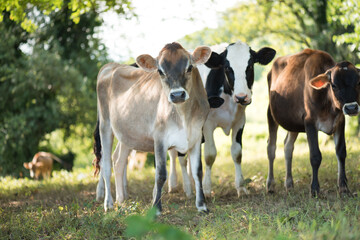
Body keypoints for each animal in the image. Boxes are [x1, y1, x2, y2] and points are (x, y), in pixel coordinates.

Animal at [268, 48, 360, 195]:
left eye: (358, 82)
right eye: (334, 85)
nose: (351, 108)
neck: (328, 106)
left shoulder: (340, 121)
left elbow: (341, 152)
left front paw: (343, 187)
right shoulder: (309, 122)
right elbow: (315, 156)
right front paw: (315, 189)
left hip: (293, 123)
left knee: (288, 146)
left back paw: (289, 184)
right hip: (271, 114)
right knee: (271, 148)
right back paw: (270, 185)